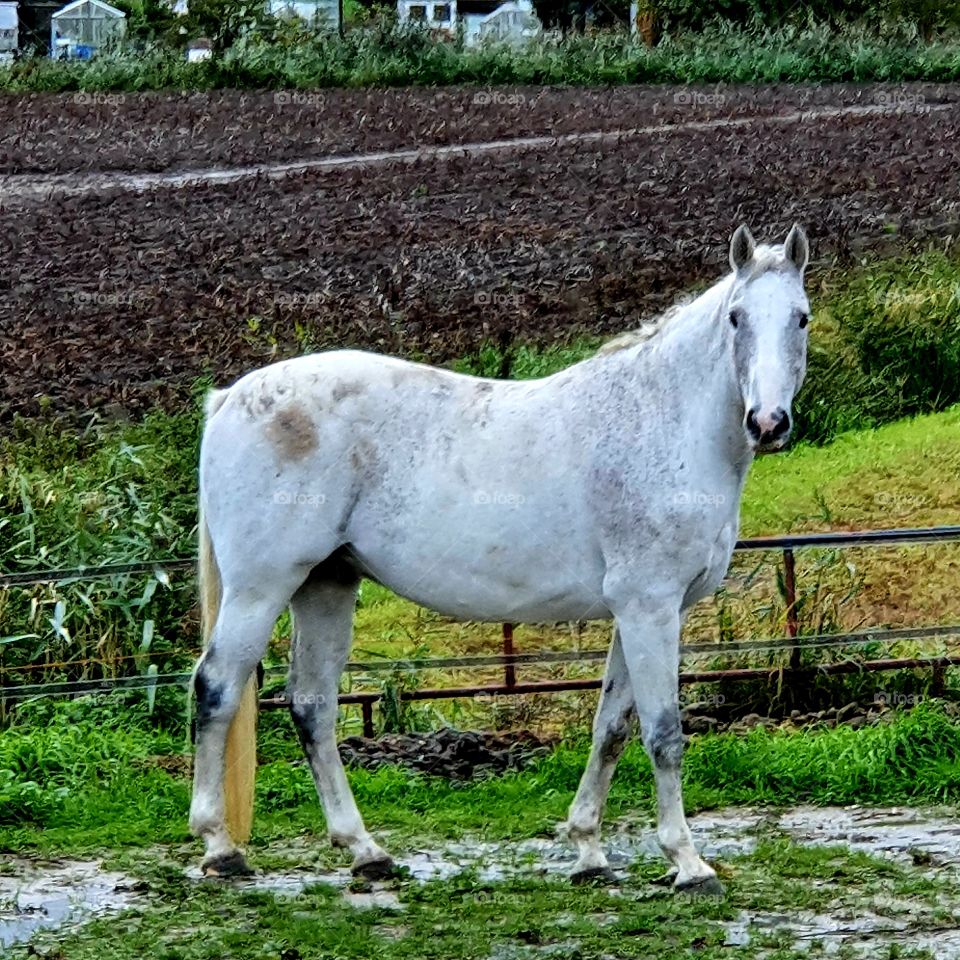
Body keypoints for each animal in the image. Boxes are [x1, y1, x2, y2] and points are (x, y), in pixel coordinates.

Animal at [188, 222, 810, 896]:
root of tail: (229, 398)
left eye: (800, 318)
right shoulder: (651, 606)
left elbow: (611, 729)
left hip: (326, 585)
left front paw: (589, 851)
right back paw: (220, 848)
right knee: (216, 689)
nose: (768, 423)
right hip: (261, 588)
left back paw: (365, 851)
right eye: (736, 317)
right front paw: (689, 864)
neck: (661, 422)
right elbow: (663, 732)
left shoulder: (634, 612)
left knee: (312, 706)